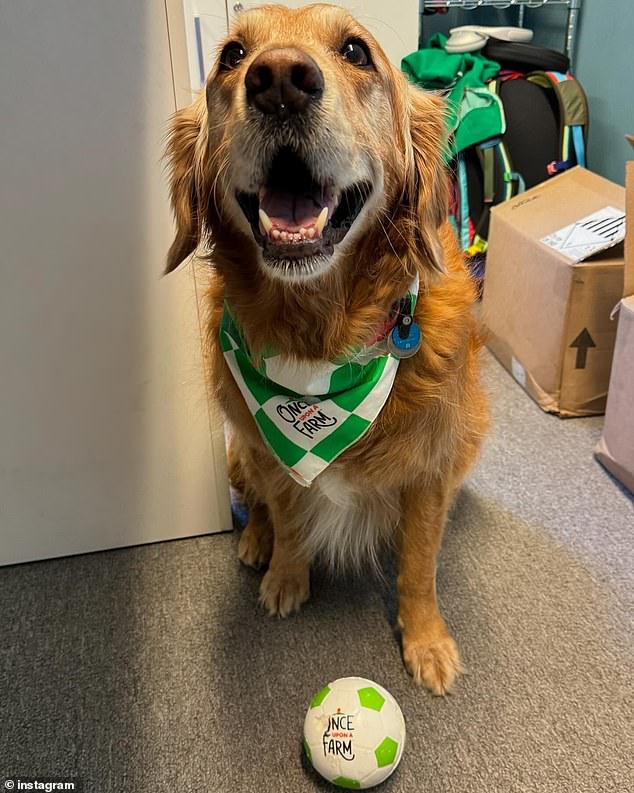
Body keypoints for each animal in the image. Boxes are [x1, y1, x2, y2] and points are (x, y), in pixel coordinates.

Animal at [163, 3, 484, 688]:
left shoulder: (432, 469)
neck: (322, 343)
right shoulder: (268, 450)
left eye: (356, 52)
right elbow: (287, 520)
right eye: (231, 56)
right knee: (256, 504)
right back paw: (254, 542)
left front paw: (426, 641)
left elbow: (419, 566)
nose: (280, 81)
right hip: (239, 449)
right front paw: (286, 574)